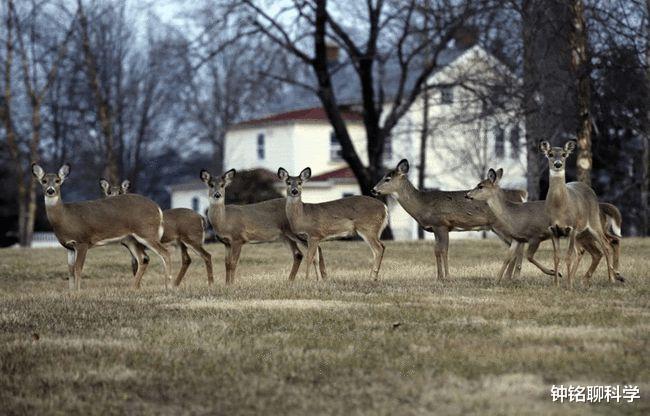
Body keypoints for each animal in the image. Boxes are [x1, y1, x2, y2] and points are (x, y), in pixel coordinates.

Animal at [32, 163, 172, 290]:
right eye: (44, 181)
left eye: (57, 181)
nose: (50, 190)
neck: (65, 216)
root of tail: (158, 208)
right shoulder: (69, 246)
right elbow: (70, 271)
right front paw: (70, 294)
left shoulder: (82, 241)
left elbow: (78, 268)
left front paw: (77, 293)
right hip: (130, 239)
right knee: (143, 258)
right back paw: (132, 288)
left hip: (146, 232)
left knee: (165, 253)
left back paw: (168, 287)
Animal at [371, 159, 530, 280]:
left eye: (387, 179)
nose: (373, 190)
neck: (423, 204)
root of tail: (521, 194)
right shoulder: (435, 228)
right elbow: (436, 250)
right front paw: (439, 277)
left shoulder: (442, 224)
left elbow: (444, 250)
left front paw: (447, 277)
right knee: (518, 245)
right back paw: (513, 276)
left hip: (501, 226)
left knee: (516, 246)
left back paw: (510, 276)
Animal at [466, 168, 623, 282]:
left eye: (480, 186)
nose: (467, 195)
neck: (514, 215)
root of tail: (600, 204)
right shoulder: (518, 238)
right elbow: (507, 258)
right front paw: (496, 281)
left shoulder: (535, 235)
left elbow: (529, 257)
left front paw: (555, 272)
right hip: (582, 234)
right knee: (598, 250)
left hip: (590, 229)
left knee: (604, 246)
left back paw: (612, 277)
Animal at [539, 140, 623, 287]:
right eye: (550, 154)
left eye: (564, 154)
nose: (558, 164)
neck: (559, 207)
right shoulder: (553, 229)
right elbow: (556, 257)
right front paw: (556, 284)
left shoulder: (572, 228)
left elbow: (568, 257)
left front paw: (568, 285)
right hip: (583, 234)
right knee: (594, 251)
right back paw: (584, 279)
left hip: (594, 224)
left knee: (606, 246)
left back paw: (611, 279)